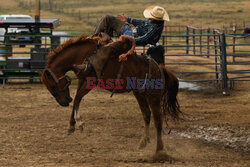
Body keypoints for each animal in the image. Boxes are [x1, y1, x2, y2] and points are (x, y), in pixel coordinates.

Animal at [41, 33, 182, 159]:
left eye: (52, 86)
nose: (63, 102)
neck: (83, 55)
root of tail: (159, 68)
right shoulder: (82, 81)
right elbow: (76, 100)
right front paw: (71, 126)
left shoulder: (90, 82)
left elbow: (77, 99)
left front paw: (79, 123)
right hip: (140, 93)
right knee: (146, 114)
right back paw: (143, 142)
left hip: (154, 96)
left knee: (158, 120)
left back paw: (159, 151)